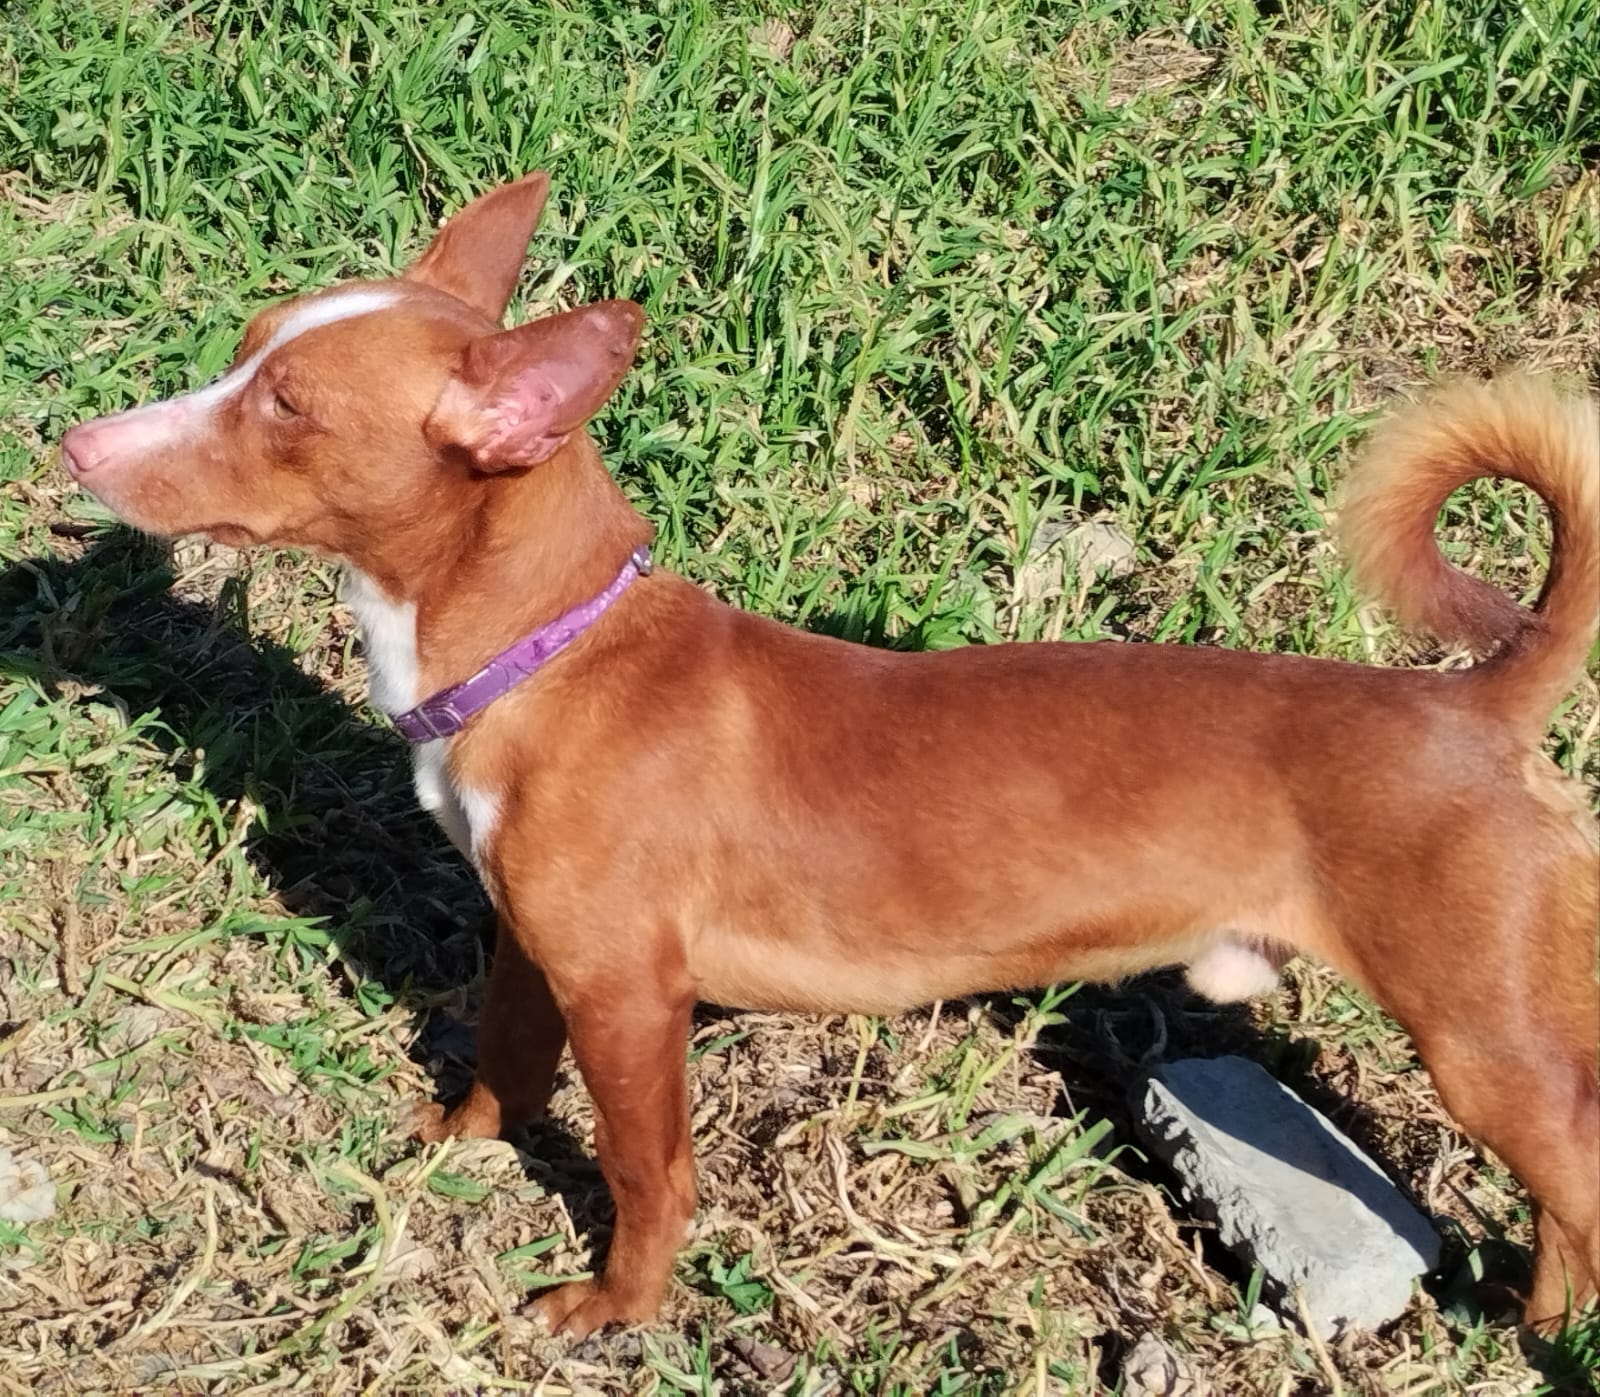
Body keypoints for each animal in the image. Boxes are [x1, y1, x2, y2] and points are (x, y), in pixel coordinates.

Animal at [60, 172, 1599, 1339]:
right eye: (249, 351)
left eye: (286, 409)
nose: (77, 438)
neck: (549, 655)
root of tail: (1473, 707)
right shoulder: (536, 949)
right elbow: (502, 1057)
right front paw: (459, 1145)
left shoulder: (630, 1000)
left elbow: (649, 1174)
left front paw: (615, 1309)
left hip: (1485, 1043)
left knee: (1575, 1176)